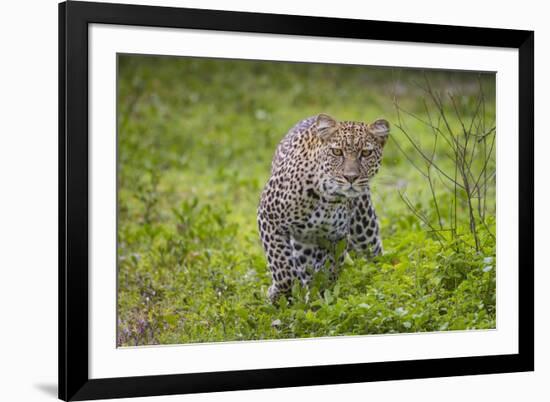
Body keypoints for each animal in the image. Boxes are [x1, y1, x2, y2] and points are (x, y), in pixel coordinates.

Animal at [258, 112, 390, 302]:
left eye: (366, 153)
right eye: (337, 151)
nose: (351, 177)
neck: (328, 198)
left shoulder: (336, 237)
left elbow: (329, 272)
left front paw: (320, 299)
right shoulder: (269, 217)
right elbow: (282, 269)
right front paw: (279, 294)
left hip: (364, 231)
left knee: (374, 255)